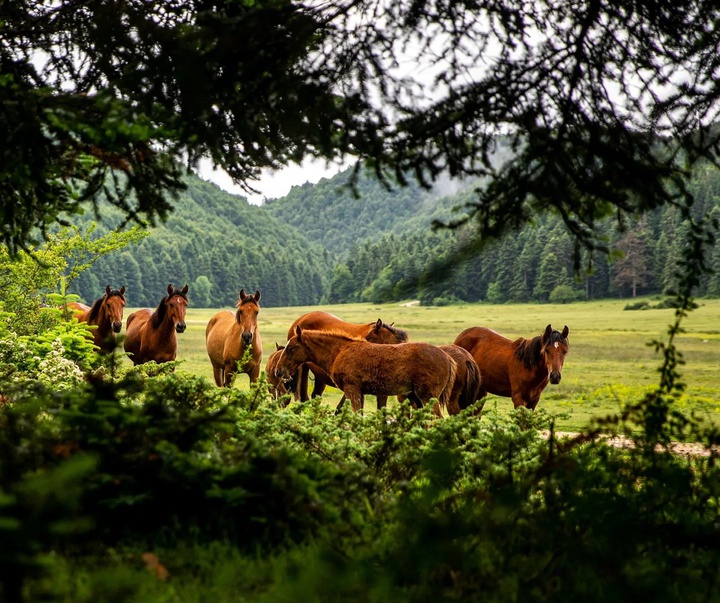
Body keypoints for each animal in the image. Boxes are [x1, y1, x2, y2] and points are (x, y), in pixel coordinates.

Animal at [272, 326, 452, 416]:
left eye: (291, 348)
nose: (278, 371)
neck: (339, 351)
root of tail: (448, 358)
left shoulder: (352, 389)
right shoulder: (361, 392)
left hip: (426, 396)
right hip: (416, 397)